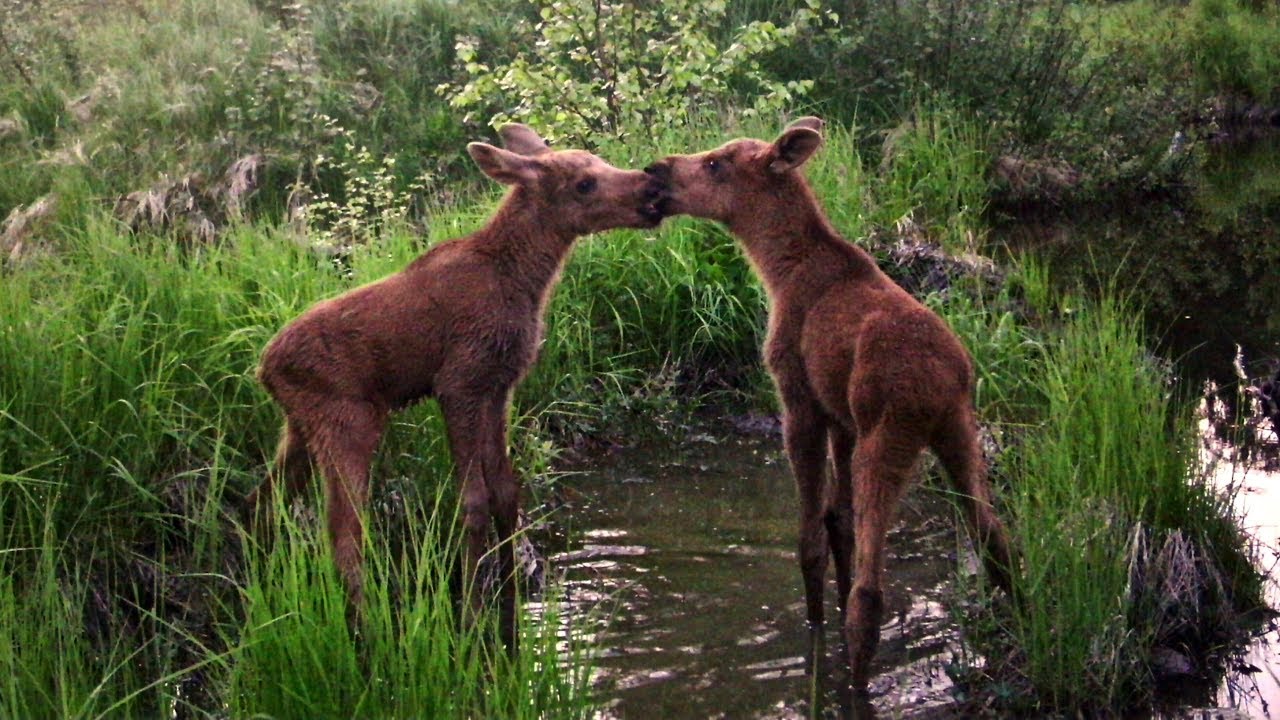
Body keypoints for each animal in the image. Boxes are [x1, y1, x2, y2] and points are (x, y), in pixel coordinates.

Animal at [246, 124, 666, 646]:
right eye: (584, 183)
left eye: (599, 161)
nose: (651, 188)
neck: (525, 283)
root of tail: (264, 367)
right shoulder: (458, 383)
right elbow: (473, 502)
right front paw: (471, 609)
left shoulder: (499, 386)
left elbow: (507, 494)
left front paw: (515, 594)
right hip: (349, 422)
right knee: (344, 532)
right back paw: (367, 629)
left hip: (300, 428)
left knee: (261, 502)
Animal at [644, 117, 1016, 692]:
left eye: (716, 163)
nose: (655, 169)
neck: (776, 268)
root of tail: (941, 382)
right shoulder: (841, 417)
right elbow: (837, 523)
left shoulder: (800, 400)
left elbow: (811, 541)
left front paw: (819, 626)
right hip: (958, 431)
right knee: (995, 539)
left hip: (886, 439)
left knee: (871, 592)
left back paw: (855, 682)